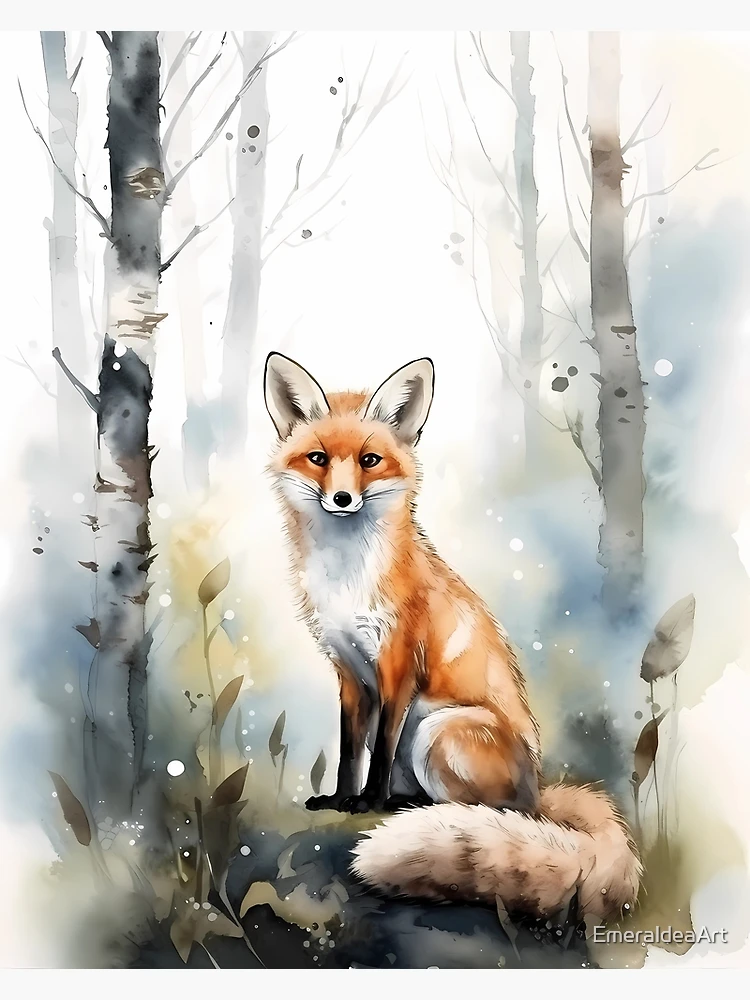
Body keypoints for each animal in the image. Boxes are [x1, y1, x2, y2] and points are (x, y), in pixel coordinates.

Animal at [263, 351, 641, 924]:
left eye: (370, 460)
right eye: (318, 458)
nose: (343, 498)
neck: (346, 579)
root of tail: (541, 793)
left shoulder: (398, 665)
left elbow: (380, 749)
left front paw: (369, 803)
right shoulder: (348, 671)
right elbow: (351, 748)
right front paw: (340, 799)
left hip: (437, 732)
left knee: (481, 809)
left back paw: (411, 808)